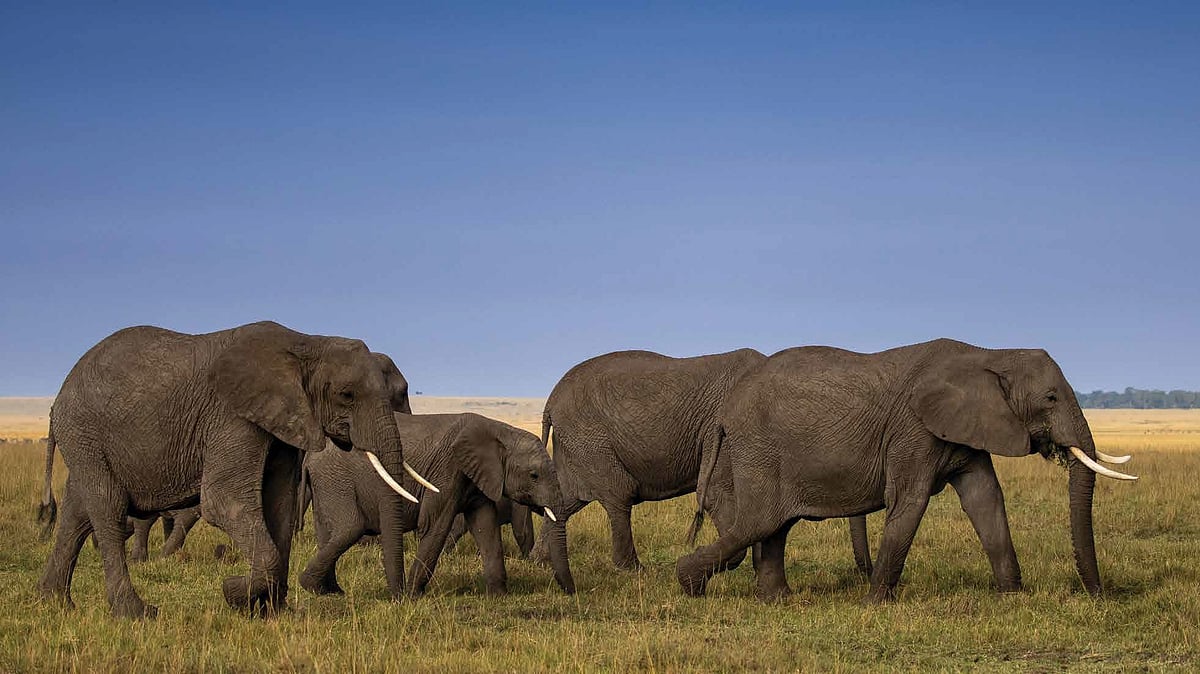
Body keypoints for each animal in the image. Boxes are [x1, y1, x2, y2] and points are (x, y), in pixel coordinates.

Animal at [36, 321, 433, 618]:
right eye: (347, 395)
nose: (403, 599)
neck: (306, 342)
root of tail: (60, 395)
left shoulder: (282, 422)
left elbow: (278, 505)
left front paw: (275, 613)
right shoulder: (232, 416)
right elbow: (223, 501)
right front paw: (233, 592)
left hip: (87, 440)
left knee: (77, 513)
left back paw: (55, 603)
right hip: (85, 431)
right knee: (107, 510)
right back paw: (135, 613)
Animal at [300, 412, 574, 598]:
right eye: (534, 476)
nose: (571, 592)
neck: (501, 430)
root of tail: (310, 457)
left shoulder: (480, 477)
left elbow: (485, 527)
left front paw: (499, 596)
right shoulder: (448, 469)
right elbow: (436, 524)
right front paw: (413, 595)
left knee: (331, 533)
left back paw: (328, 590)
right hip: (337, 478)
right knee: (351, 528)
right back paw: (313, 587)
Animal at [530, 348, 767, 571]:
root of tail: (551, 401)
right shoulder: (725, 429)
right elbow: (717, 493)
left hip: (574, 443)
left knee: (564, 501)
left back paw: (540, 561)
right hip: (589, 440)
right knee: (619, 494)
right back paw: (633, 570)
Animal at [677, 338, 1137, 602]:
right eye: (1050, 398)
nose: (1100, 598)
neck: (989, 354)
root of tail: (725, 410)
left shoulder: (965, 428)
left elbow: (985, 498)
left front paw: (1013, 597)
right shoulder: (914, 431)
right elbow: (909, 502)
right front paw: (874, 603)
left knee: (774, 525)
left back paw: (780, 601)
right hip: (760, 449)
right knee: (762, 519)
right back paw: (689, 585)